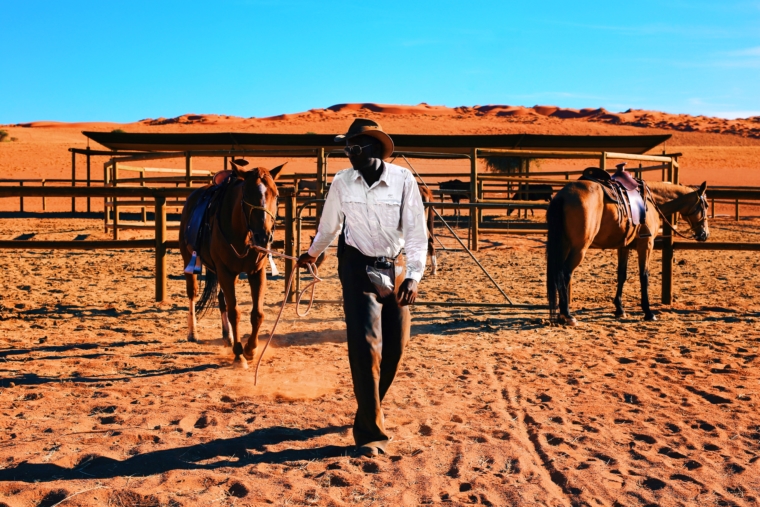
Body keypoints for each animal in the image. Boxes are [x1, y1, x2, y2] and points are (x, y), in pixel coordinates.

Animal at [180, 161, 284, 368]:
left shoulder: (256, 272)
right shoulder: (225, 272)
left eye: (276, 194)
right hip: (189, 260)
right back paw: (193, 333)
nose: (264, 236)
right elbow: (234, 312)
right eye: (247, 195)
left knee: (221, 299)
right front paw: (239, 355)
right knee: (193, 293)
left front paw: (251, 349)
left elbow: (257, 313)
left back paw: (227, 337)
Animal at [548, 179, 708, 326]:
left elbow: (622, 275)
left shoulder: (623, 247)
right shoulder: (646, 245)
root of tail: (563, 195)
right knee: (565, 273)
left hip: (564, 245)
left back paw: (561, 315)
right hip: (579, 248)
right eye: (705, 205)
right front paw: (648, 312)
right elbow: (644, 276)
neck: (651, 201)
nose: (705, 234)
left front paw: (619, 309)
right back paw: (567, 315)